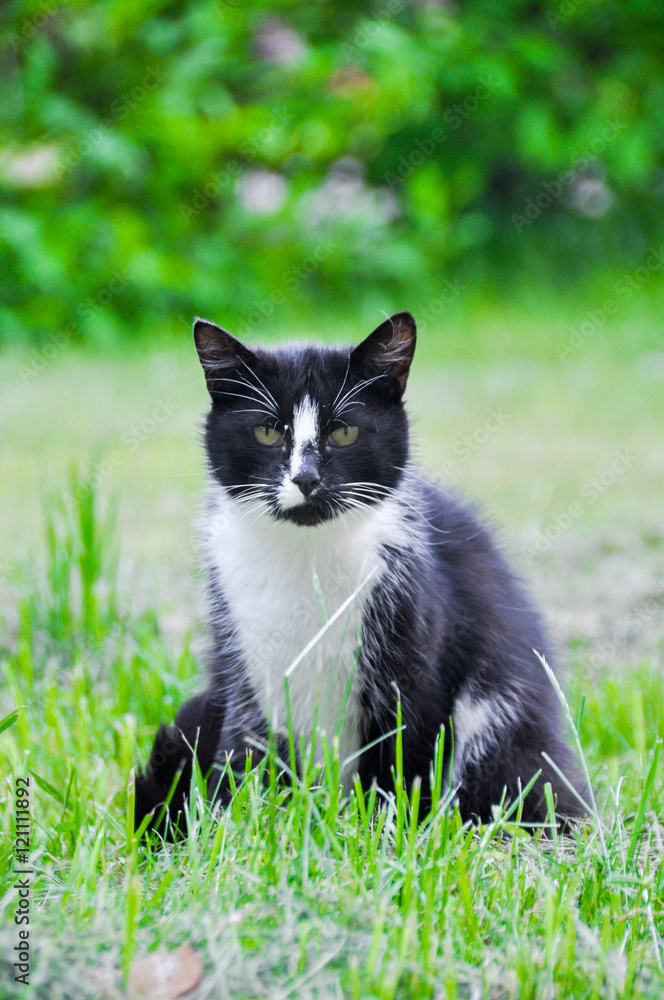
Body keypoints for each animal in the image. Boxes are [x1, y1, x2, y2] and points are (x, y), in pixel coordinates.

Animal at [134, 312, 580, 836]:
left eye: (344, 433)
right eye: (267, 432)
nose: (306, 479)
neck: (305, 558)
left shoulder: (415, 648)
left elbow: (406, 759)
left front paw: (393, 833)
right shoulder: (241, 659)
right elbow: (244, 752)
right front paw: (241, 827)